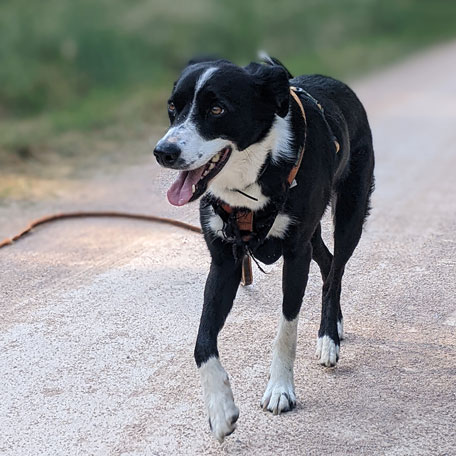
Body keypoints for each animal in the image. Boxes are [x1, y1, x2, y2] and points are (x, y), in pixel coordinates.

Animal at [153, 54, 374, 442]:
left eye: (217, 109)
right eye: (172, 107)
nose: (163, 152)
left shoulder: (296, 255)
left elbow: (287, 327)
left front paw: (281, 390)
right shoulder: (224, 262)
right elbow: (202, 341)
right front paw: (220, 410)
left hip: (350, 215)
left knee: (337, 269)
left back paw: (328, 337)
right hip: (313, 232)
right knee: (329, 262)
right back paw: (335, 323)